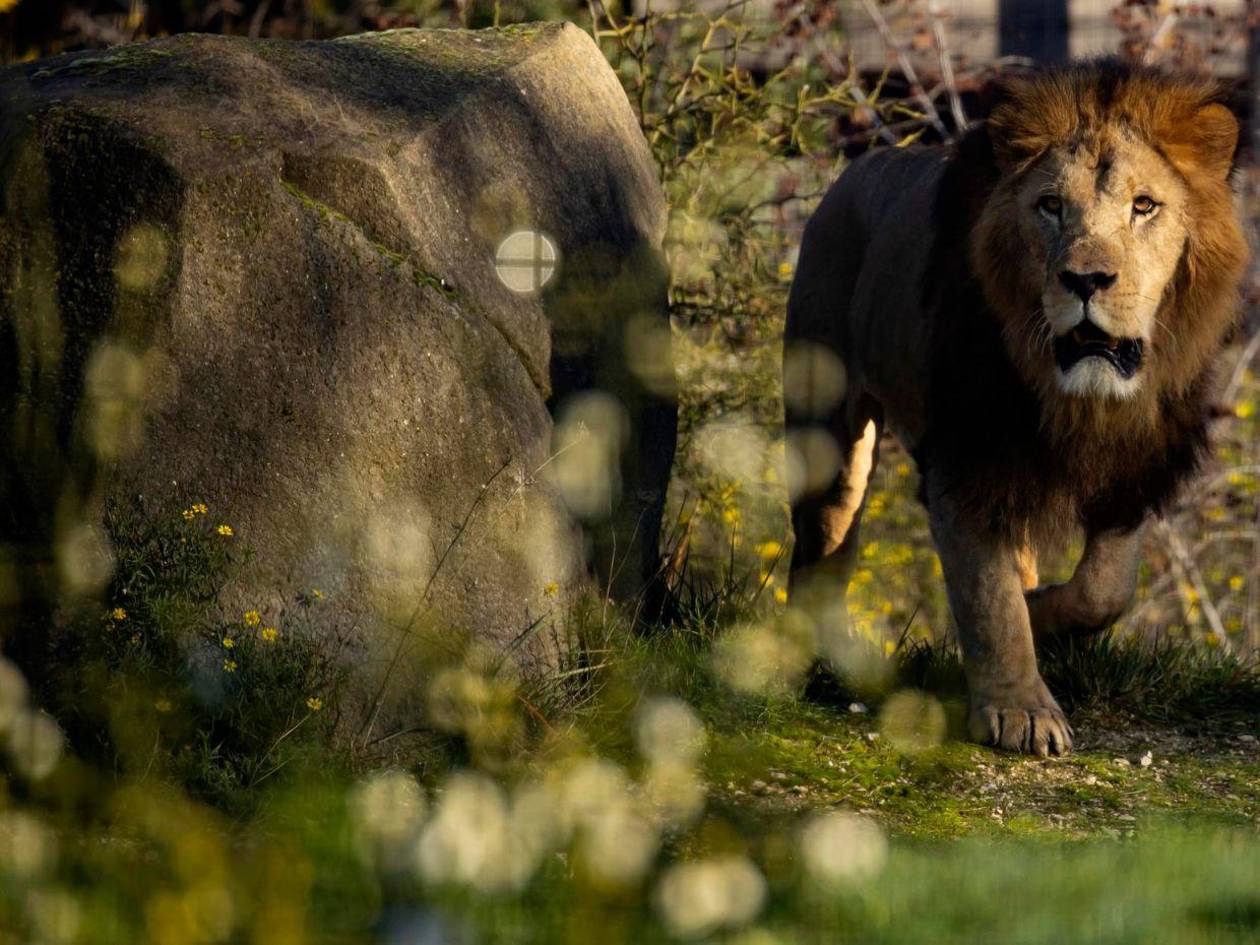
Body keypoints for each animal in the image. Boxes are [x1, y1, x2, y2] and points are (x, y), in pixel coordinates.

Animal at [784, 61, 1248, 756]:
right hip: (829, 435)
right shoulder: (966, 460)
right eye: (1051, 206)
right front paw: (1019, 711)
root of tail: (860, 166)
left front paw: (1043, 619)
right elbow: (988, 597)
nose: (1085, 281)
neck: (1078, 397)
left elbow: (1104, 589)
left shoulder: (1134, 465)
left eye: (1143, 206)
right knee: (825, 540)